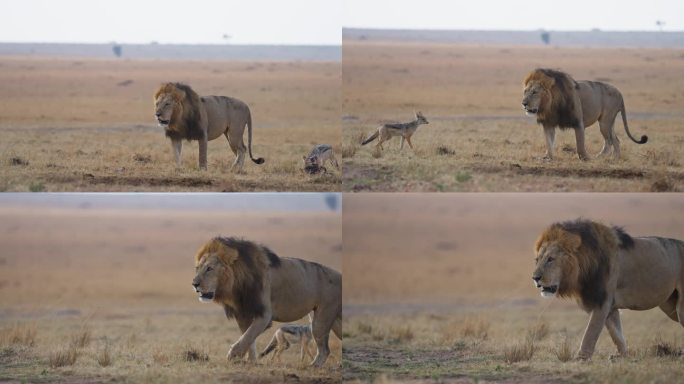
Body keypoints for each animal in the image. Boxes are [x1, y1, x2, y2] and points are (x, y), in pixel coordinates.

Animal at [191, 237, 340, 366]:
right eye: (197, 268)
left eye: (209, 268)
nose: (194, 284)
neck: (235, 285)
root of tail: (340, 275)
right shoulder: (242, 314)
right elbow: (248, 338)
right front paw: (251, 361)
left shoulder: (264, 315)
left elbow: (248, 336)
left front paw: (233, 354)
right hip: (334, 321)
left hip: (320, 320)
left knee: (324, 350)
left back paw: (312, 366)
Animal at [536, 219, 684, 360]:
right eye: (537, 260)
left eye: (551, 259)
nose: (535, 277)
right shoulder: (610, 307)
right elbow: (616, 334)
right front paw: (621, 355)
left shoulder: (602, 301)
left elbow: (591, 332)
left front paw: (580, 358)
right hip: (669, 304)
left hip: (680, 309)